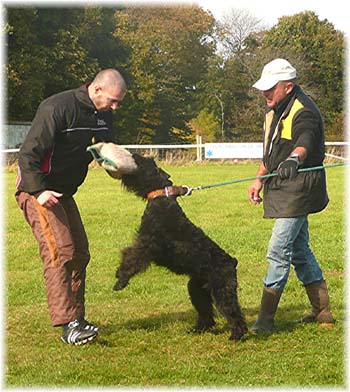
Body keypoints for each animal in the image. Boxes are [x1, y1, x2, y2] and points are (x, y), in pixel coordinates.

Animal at [113, 153, 247, 340]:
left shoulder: (147, 244)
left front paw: (120, 280)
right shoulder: (145, 242)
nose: (134, 155)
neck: (161, 196)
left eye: (147, 162)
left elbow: (132, 258)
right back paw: (199, 329)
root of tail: (232, 261)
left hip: (222, 290)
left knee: (233, 312)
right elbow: (130, 255)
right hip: (197, 289)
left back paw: (236, 335)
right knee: (206, 313)